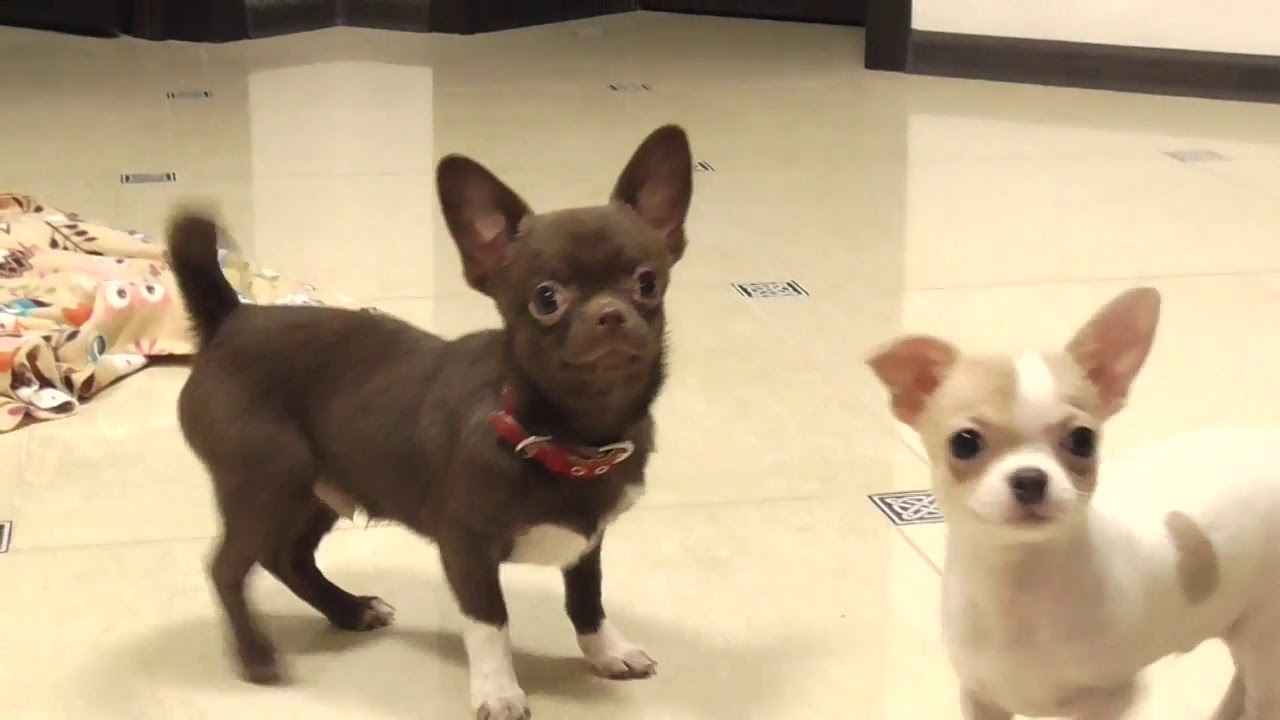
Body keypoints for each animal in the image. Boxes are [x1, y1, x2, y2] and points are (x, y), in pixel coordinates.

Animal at [169, 124, 694, 720]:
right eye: (546, 299)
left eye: (647, 284)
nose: (609, 313)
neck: (568, 434)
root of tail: (230, 319)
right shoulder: (466, 550)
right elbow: (491, 623)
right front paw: (498, 690)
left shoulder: (588, 544)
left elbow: (587, 601)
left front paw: (607, 652)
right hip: (266, 484)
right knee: (228, 568)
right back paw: (256, 656)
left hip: (318, 489)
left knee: (289, 558)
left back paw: (348, 610)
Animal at [867, 287, 1280, 719]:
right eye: (964, 443)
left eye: (1083, 440)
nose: (1030, 478)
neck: (1021, 587)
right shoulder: (981, 696)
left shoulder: (1111, 698)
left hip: (1266, 636)